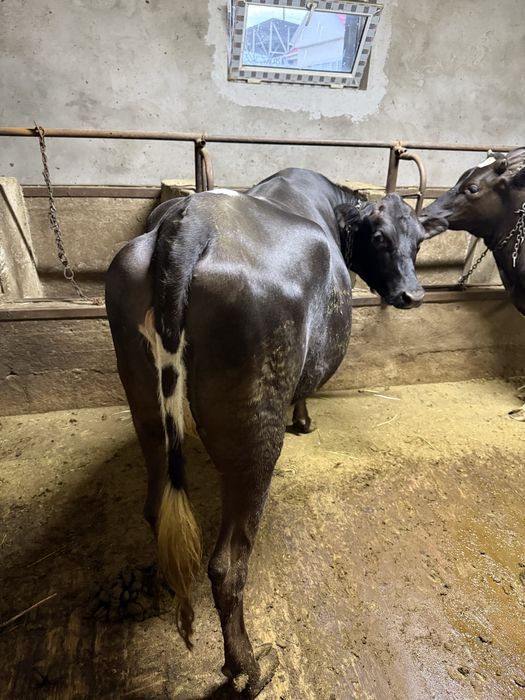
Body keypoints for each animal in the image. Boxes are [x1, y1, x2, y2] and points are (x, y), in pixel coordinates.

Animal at [105, 167, 426, 697]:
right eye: (380, 238)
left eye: (419, 240)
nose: (413, 295)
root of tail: (191, 219)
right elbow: (306, 390)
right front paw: (305, 420)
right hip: (254, 430)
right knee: (227, 563)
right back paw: (249, 668)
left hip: (143, 398)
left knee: (155, 507)